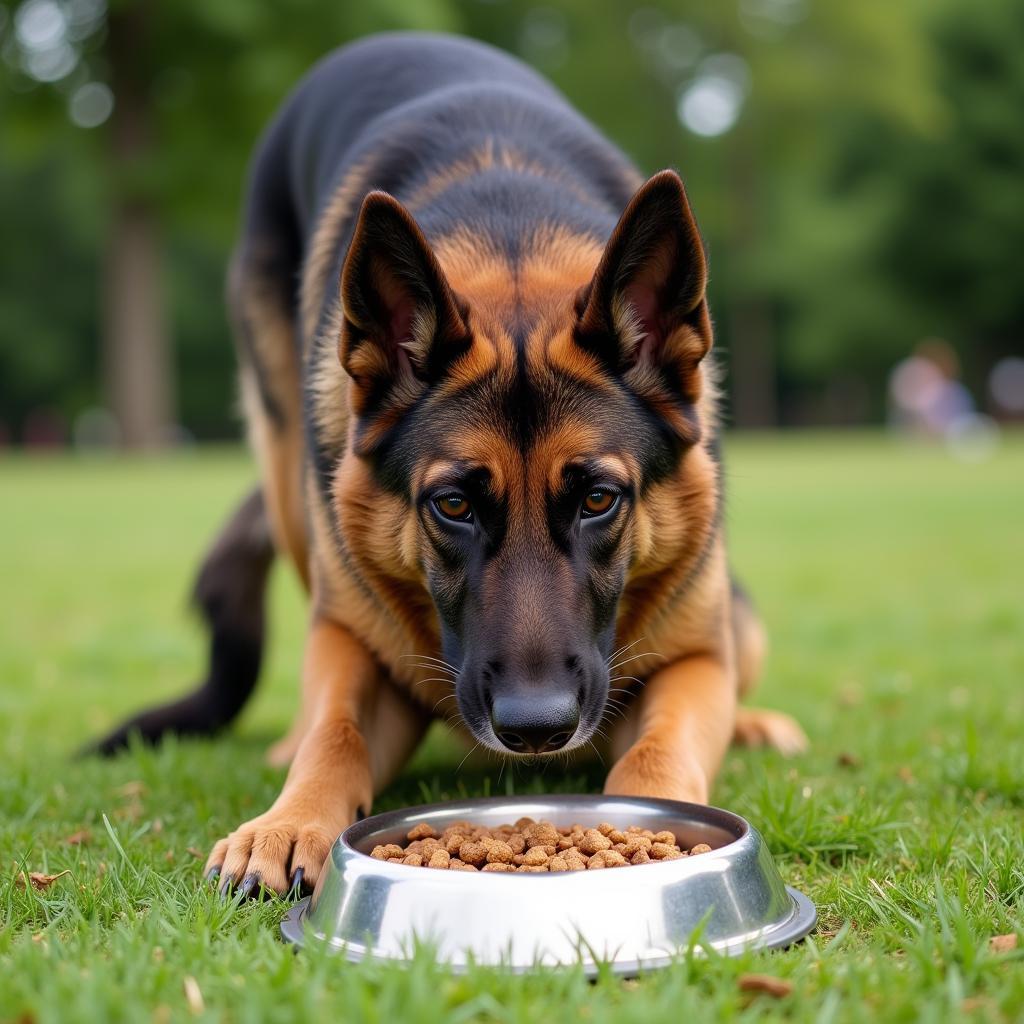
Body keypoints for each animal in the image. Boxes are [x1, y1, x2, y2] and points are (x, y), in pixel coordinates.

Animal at [90, 32, 806, 897]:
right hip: (290, 480)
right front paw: (289, 820)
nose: (536, 729)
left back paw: (754, 722)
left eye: (599, 500)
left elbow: (657, 750)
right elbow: (333, 736)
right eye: (454, 506)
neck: (513, 240)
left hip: (739, 622)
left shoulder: (697, 659)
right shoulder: (353, 646)